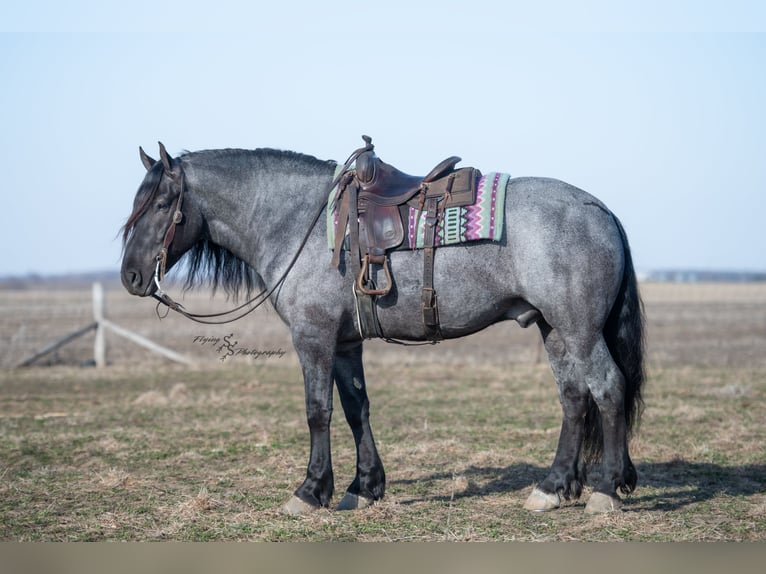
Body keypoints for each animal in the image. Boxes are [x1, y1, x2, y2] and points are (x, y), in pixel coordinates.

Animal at [120, 140, 644, 515]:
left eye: (162, 203)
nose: (130, 276)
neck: (299, 223)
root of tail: (600, 209)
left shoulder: (313, 337)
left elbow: (318, 411)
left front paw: (310, 491)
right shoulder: (345, 343)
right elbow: (357, 409)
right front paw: (365, 487)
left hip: (579, 330)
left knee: (608, 388)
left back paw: (605, 490)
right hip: (553, 329)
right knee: (574, 398)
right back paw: (553, 488)